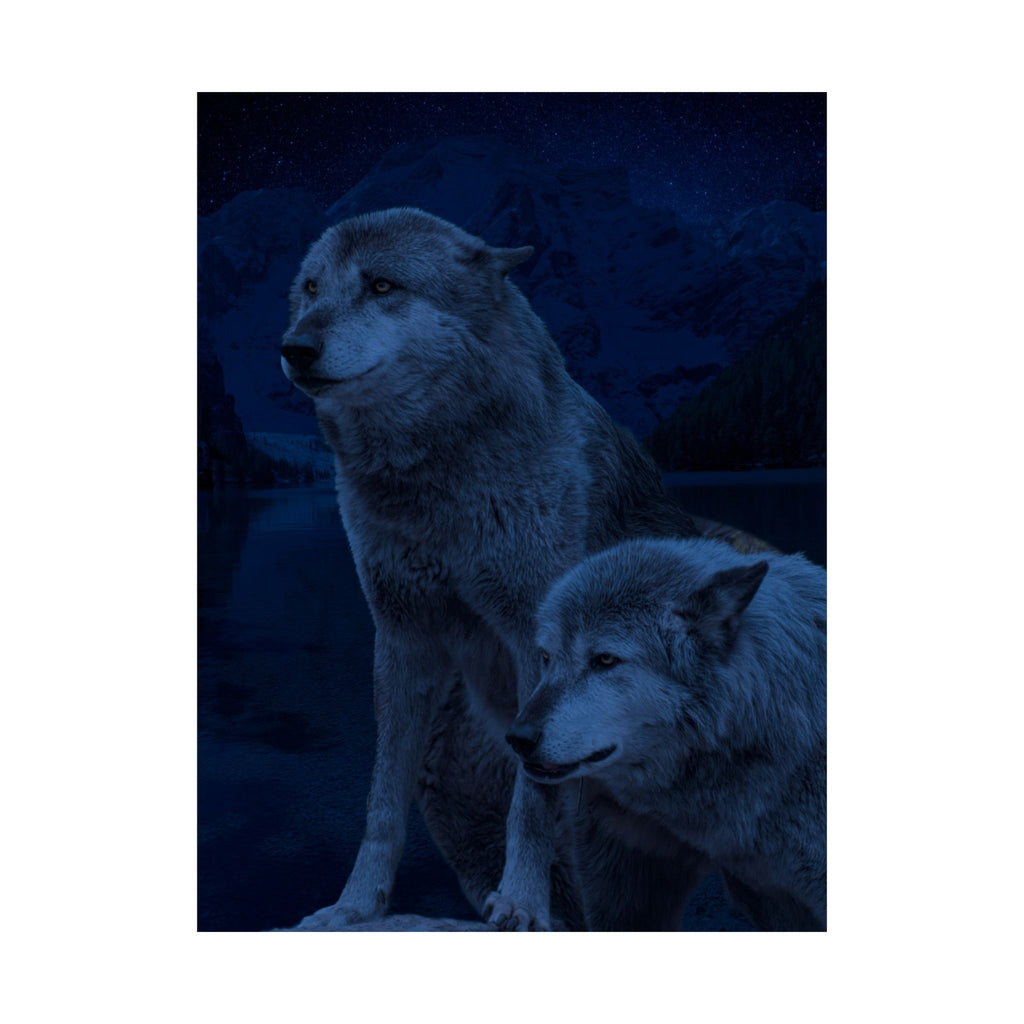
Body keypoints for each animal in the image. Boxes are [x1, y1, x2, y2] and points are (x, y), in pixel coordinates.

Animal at [279, 207, 709, 930]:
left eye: (383, 285)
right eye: (311, 288)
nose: (294, 348)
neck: (433, 486)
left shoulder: (532, 642)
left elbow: (529, 801)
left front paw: (522, 903)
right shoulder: (402, 638)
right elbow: (382, 801)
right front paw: (355, 906)